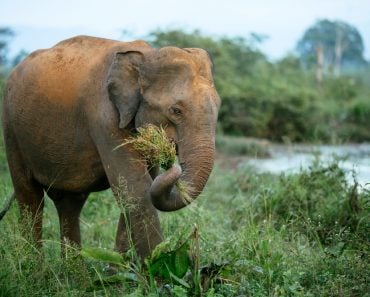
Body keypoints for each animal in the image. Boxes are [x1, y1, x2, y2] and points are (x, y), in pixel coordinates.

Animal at [0, 35, 220, 260]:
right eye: (176, 111)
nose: (173, 168)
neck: (147, 56)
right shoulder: (105, 118)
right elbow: (136, 189)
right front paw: (160, 266)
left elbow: (138, 189)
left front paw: (120, 268)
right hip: (11, 127)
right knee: (29, 197)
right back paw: (33, 266)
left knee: (69, 202)